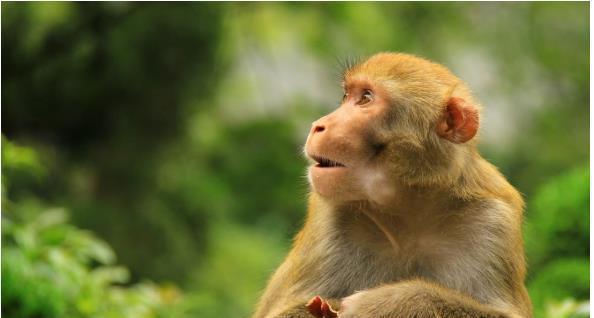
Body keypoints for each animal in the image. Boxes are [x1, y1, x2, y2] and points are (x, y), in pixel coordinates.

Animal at [252, 52, 528, 318]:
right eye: (346, 95)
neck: (408, 212)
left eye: (365, 98)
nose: (317, 126)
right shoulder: (328, 219)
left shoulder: (494, 221)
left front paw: (387, 302)